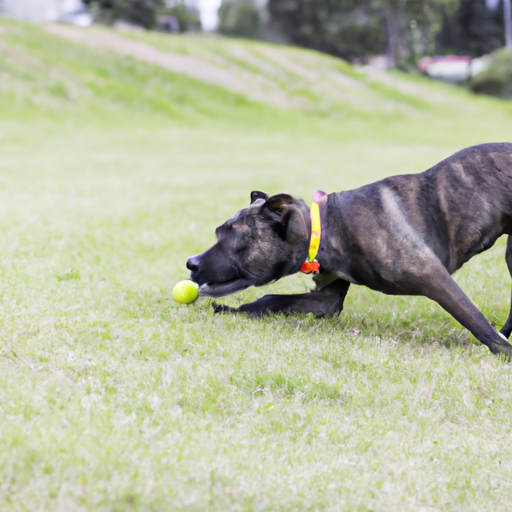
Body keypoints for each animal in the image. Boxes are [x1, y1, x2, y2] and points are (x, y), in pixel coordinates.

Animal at [186, 140, 512, 356]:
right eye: (218, 232)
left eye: (237, 236)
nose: (191, 263)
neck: (328, 224)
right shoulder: (326, 300)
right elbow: (269, 300)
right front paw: (229, 309)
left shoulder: (433, 277)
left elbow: (478, 323)